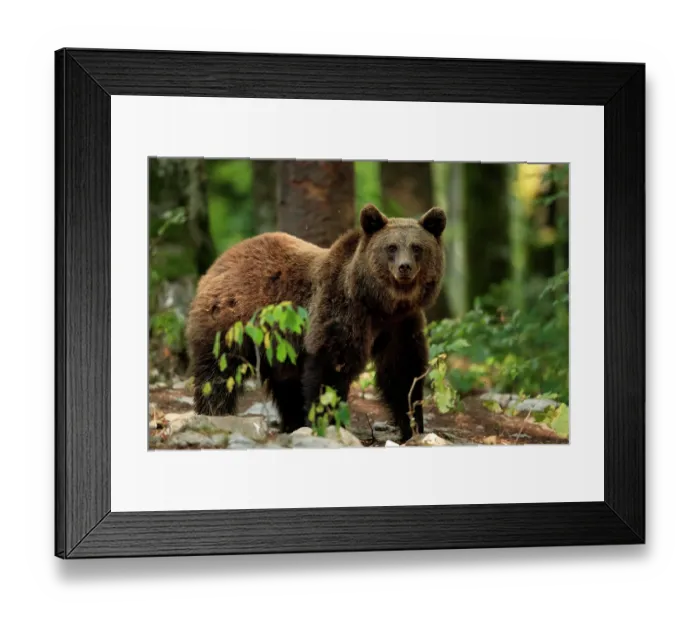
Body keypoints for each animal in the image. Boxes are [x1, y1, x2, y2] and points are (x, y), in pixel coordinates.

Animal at [184, 203, 447, 443]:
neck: (379, 304)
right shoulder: (340, 309)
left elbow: (402, 372)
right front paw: (328, 423)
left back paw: (292, 422)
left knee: (286, 385)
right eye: (391, 247)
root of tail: (220, 261)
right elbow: (330, 367)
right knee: (218, 373)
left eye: (417, 247)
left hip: (280, 348)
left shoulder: (402, 323)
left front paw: (413, 426)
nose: (404, 267)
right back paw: (215, 412)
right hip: (231, 323)